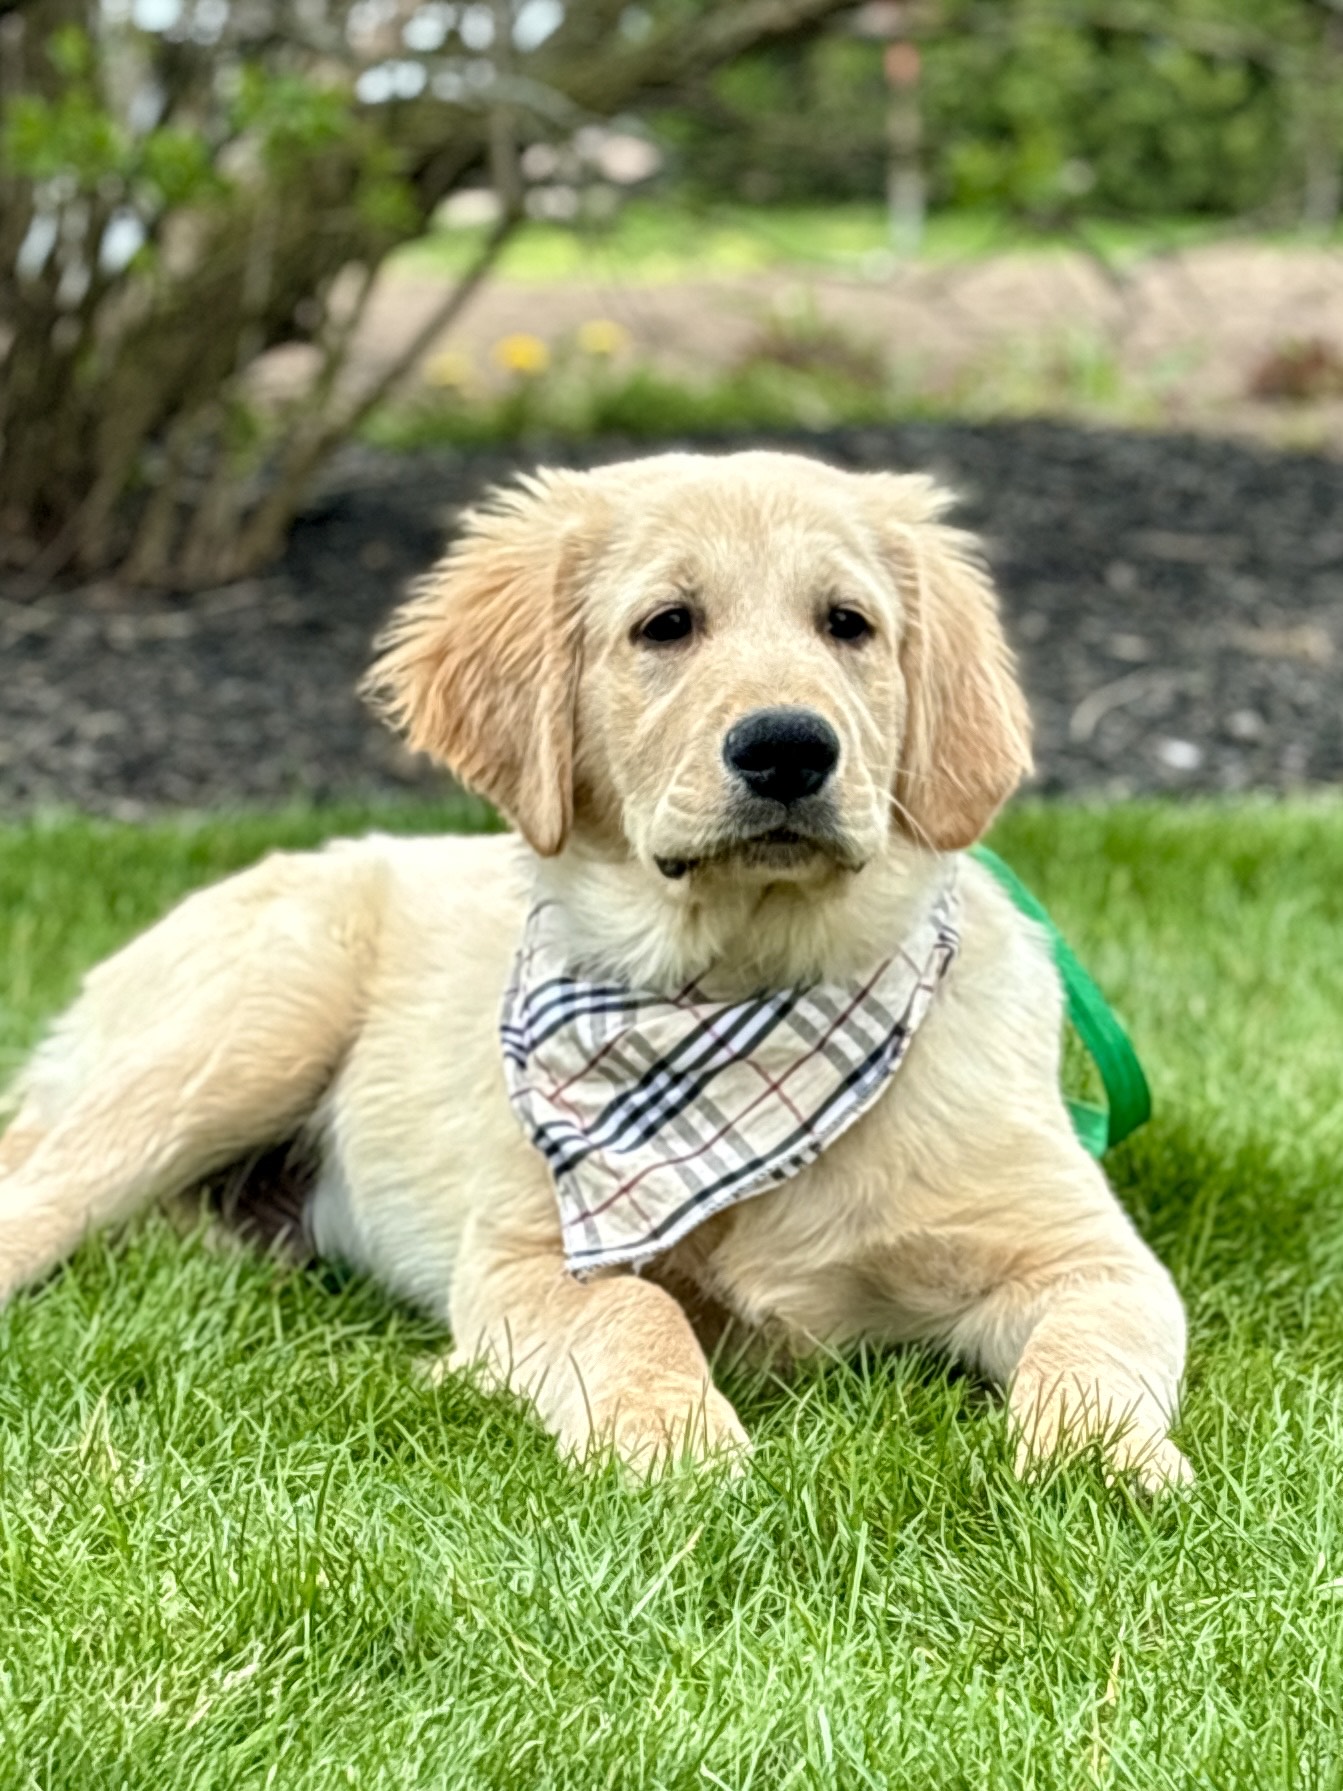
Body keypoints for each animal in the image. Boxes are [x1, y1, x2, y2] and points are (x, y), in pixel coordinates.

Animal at [0, 447, 1196, 1482]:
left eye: (847, 625)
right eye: (665, 625)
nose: (788, 748)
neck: (744, 992)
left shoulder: (1081, 1250)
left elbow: (1094, 1342)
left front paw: (1101, 1461)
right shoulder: (528, 1254)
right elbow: (637, 1311)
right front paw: (672, 1437)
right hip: (250, 1026)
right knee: (38, 1189)